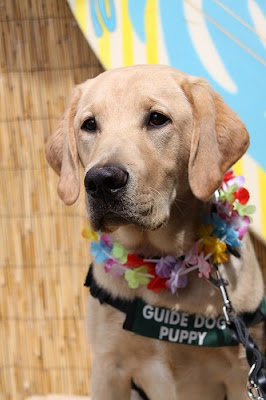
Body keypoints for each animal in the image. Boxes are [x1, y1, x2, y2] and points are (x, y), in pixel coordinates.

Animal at [45, 66, 264, 400]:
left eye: (157, 118)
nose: (101, 180)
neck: (160, 257)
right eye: (89, 124)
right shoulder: (109, 368)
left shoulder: (241, 374)